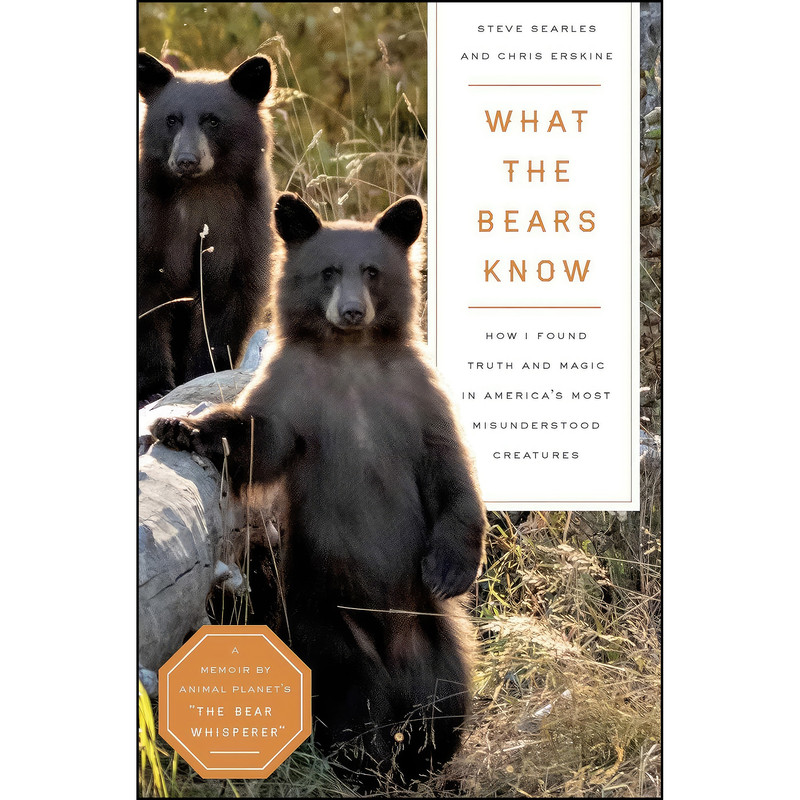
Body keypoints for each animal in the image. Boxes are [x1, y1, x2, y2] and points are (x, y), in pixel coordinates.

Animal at [137, 51, 275, 403]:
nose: (186, 160)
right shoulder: (153, 223)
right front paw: (154, 387)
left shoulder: (241, 227)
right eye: (171, 119)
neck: (200, 191)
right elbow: (146, 301)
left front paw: (204, 373)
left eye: (212, 120)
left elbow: (226, 304)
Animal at [151, 193, 487, 785]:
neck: (350, 360)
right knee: (352, 700)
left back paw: (426, 761)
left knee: (447, 699)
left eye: (371, 271)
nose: (352, 312)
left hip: (436, 637)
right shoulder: (294, 395)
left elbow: (450, 470)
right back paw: (368, 766)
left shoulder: (417, 397)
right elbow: (256, 439)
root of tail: (394, 658)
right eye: (328, 271)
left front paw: (449, 567)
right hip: (324, 623)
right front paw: (180, 427)